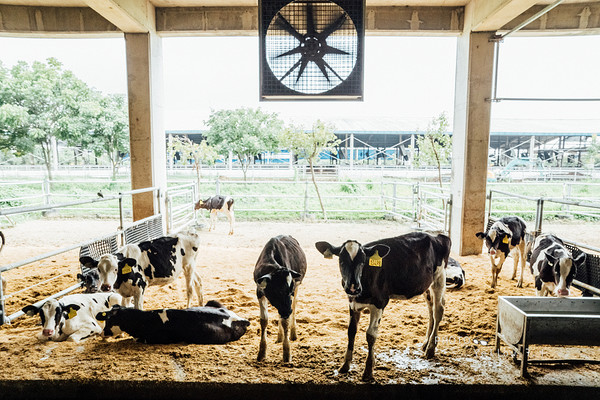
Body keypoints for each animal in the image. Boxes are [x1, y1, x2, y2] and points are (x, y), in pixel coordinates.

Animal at [254, 234, 308, 362]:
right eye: (278, 290)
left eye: (289, 290)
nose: (287, 311)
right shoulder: (259, 292)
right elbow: (264, 321)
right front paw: (261, 352)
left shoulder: (292, 291)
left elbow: (285, 322)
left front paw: (287, 353)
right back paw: (279, 336)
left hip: (297, 289)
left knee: (294, 307)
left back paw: (292, 333)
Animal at [314, 231, 450, 382]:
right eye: (341, 261)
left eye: (363, 261)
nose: (353, 287)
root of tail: (436, 235)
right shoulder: (352, 303)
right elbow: (351, 332)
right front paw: (345, 365)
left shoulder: (380, 302)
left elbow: (371, 335)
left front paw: (368, 371)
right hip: (426, 284)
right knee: (430, 309)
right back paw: (426, 343)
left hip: (440, 277)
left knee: (438, 310)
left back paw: (431, 348)